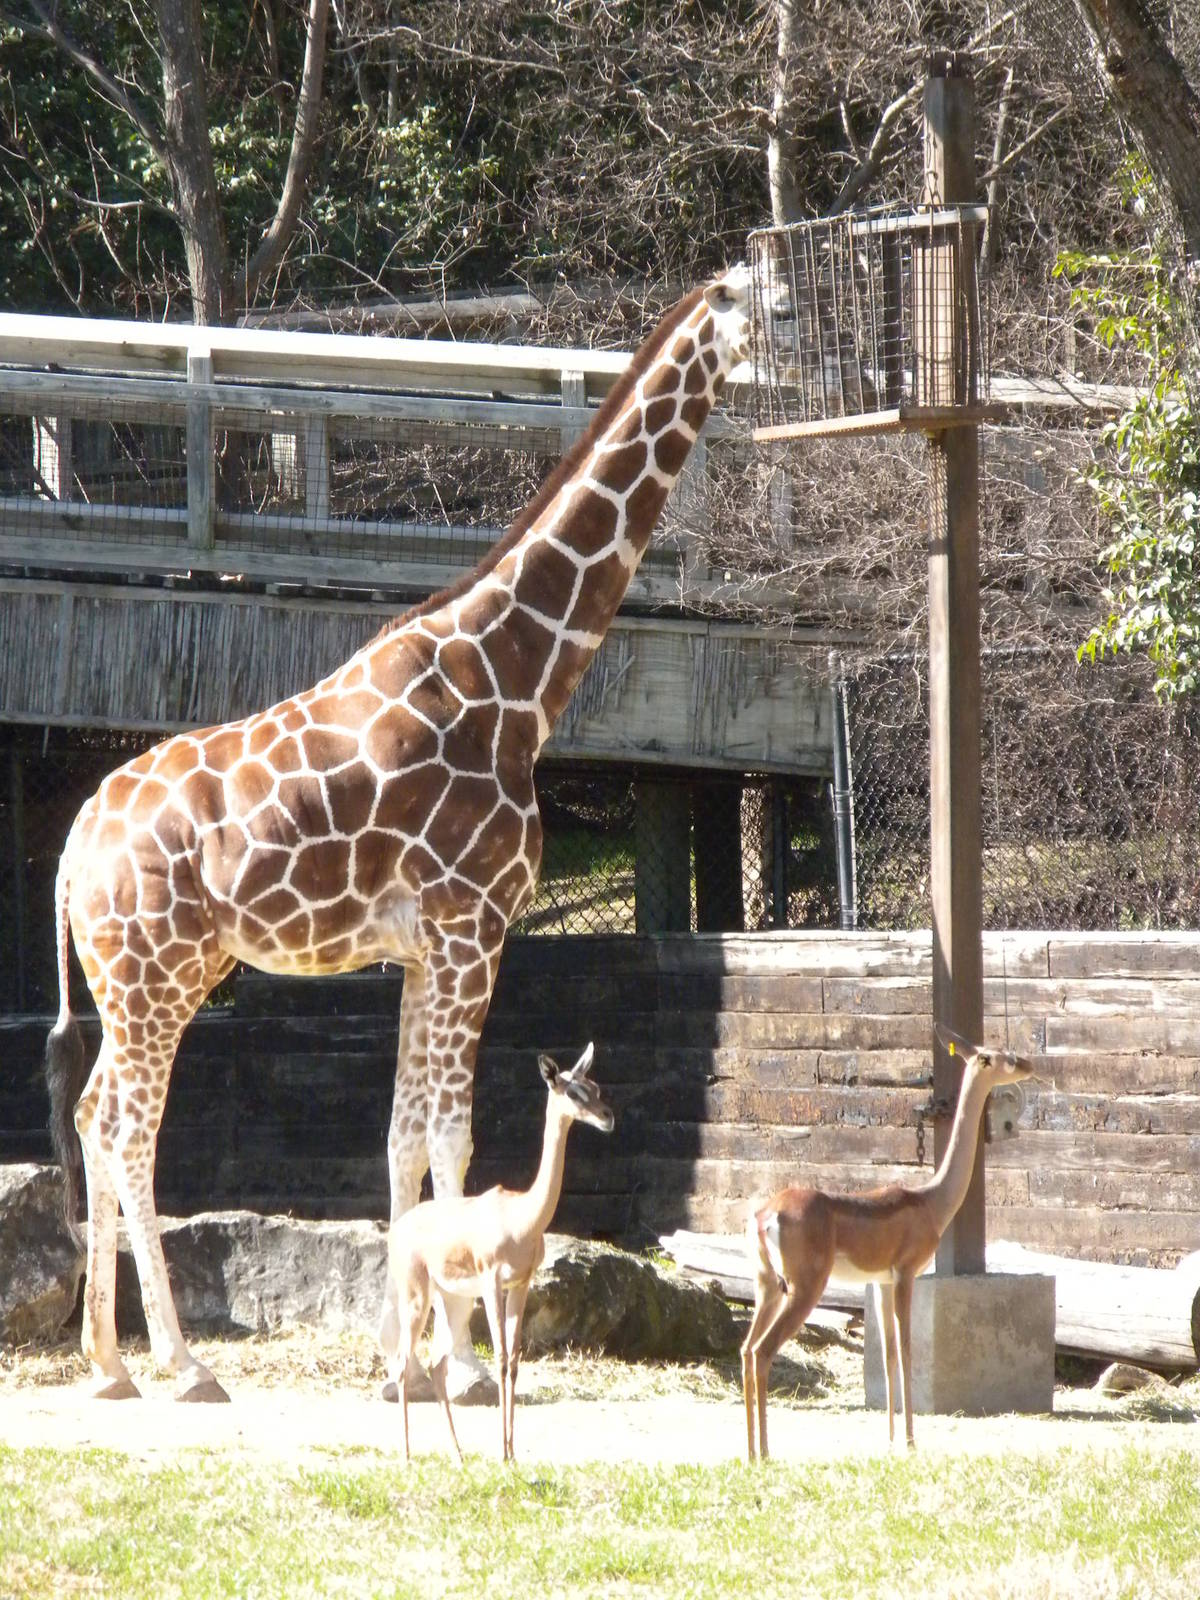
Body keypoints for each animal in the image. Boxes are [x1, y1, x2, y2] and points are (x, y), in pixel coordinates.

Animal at [44, 263, 751, 1403]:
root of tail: (71, 853)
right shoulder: (476, 931)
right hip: (156, 979)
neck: (514, 683)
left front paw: (403, 1359)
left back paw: (111, 1365)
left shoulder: (425, 949)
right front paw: (459, 1363)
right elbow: (452, 1139)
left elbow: (403, 1137)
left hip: (144, 983)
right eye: (770, 300)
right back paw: (182, 1364)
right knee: (125, 1128)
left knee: (94, 1116)